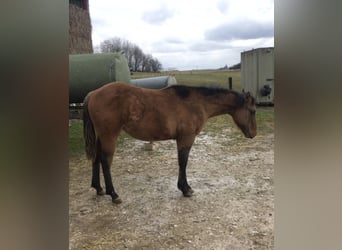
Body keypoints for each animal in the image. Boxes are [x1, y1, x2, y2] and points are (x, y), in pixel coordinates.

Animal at [81, 82, 255, 203]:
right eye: (252, 111)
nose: (253, 134)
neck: (196, 102)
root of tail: (93, 93)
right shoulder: (186, 138)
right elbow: (183, 162)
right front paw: (186, 189)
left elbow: (182, 162)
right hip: (109, 136)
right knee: (105, 162)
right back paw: (113, 194)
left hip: (101, 137)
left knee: (96, 159)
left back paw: (98, 188)